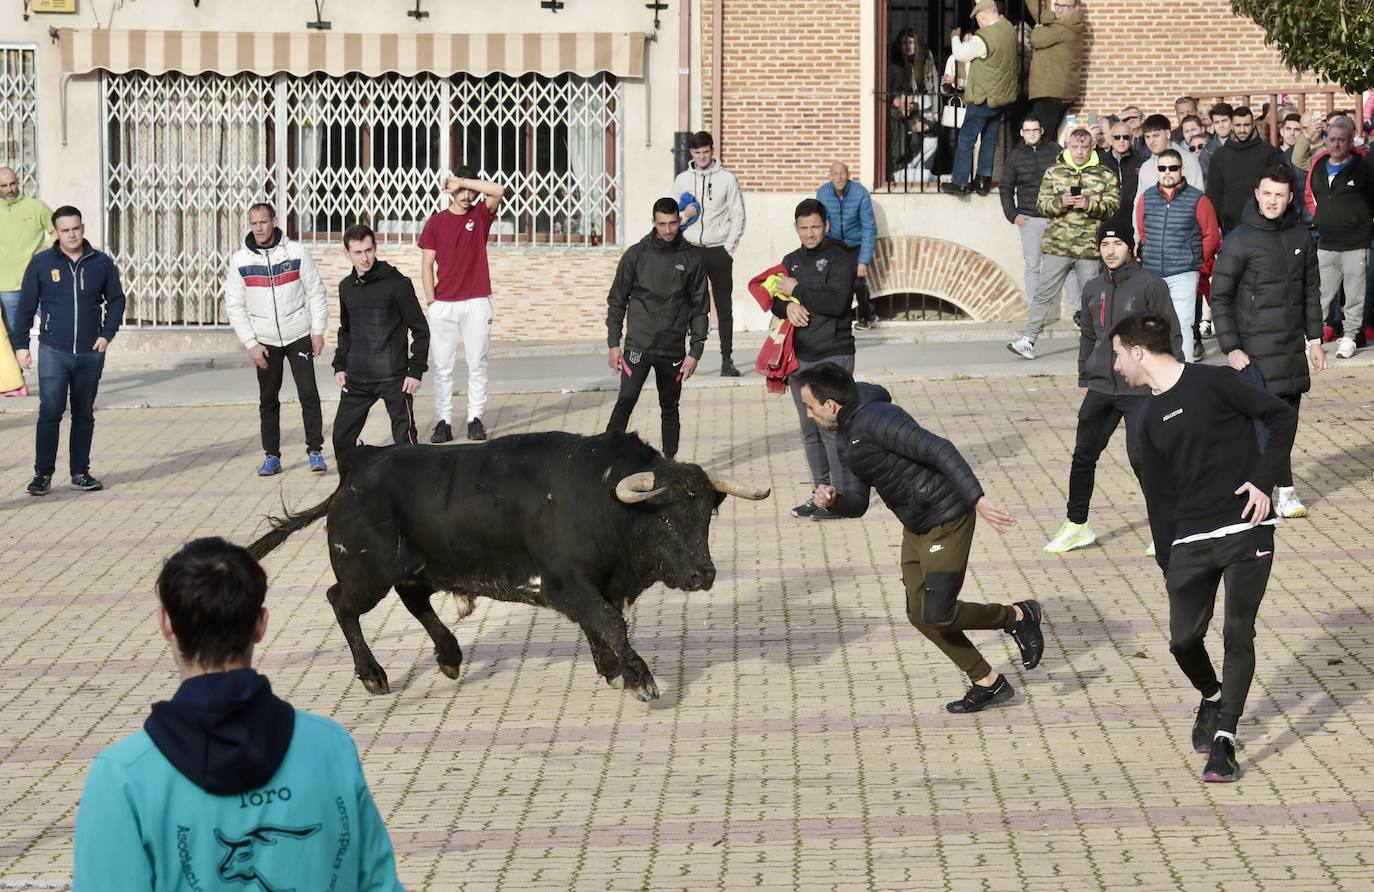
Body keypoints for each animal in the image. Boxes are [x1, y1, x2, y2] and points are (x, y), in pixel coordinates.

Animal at [247, 428, 763, 698]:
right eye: (667, 517)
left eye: (706, 516)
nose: (704, 575)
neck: (599, 498)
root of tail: (359, 464)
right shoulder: (567, 583)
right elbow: (610, 622)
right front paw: (639, 678)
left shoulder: (599, 586)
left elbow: (601, 624)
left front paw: (611, 668)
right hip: (366, 573)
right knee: (341, 602)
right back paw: (373, 674)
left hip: (416, 567)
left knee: (416, 602)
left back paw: (450, 656)